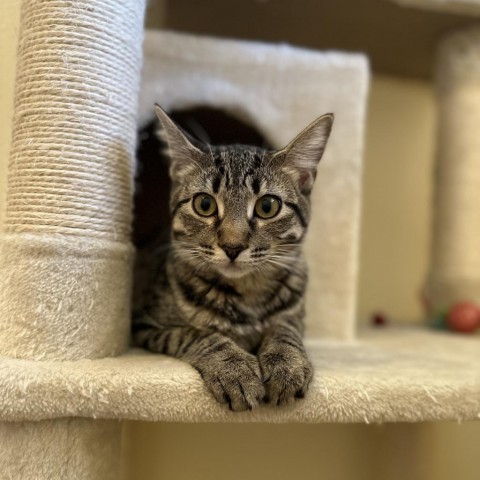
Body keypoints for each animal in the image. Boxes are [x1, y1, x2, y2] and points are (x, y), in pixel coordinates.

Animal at [132, 106, 334, 412]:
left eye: (267, 206)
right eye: (204, 204)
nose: (232, 246)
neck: (248, 291)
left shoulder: (296, 315)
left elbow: (285, 329)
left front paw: (286, 363)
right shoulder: (147, 325)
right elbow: (197, 334)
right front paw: (234, 369)